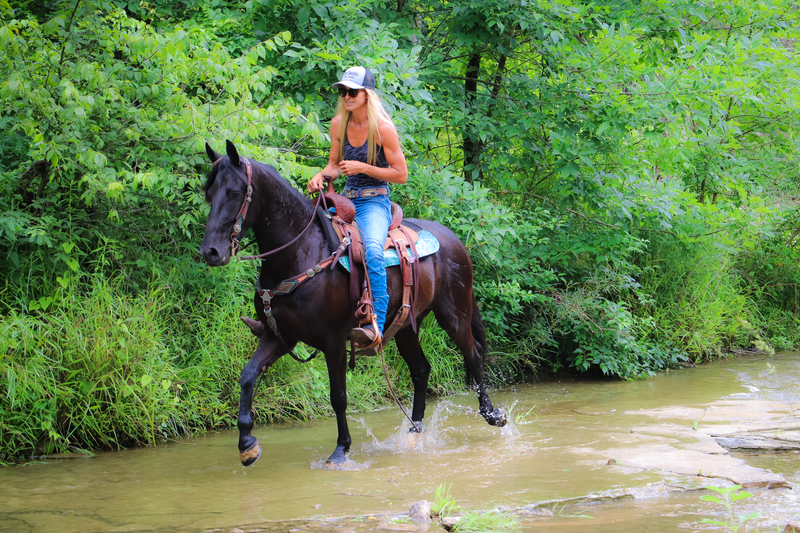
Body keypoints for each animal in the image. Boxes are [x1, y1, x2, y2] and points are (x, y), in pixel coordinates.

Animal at [200, 140, 506, 466]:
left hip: (454, 314)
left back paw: (492, 414)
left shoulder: (332, 341)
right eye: (209, 192)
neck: (300, 252)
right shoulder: (279, 336)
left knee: (473, 353)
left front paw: (341, 450)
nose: (211, 252)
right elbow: (248, 376)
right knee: (421, 369)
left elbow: (338, 396)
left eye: (234, 192)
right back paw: (413, 432)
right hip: (405, 325)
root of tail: (453, 239)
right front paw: (247, 445)